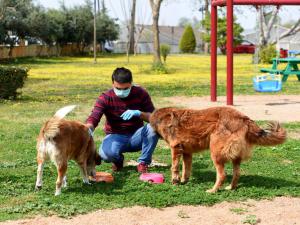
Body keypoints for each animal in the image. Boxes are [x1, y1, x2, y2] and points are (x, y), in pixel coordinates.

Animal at [150, 106, 286, 192]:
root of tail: (244, 119)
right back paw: (230, 188)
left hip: (215, 153)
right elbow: (186, 169)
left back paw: (213, 190)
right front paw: (183, 181)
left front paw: (175, 181)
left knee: (222, 175)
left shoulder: (175, 148)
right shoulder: (187, 152)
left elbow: (175, 167)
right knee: (237, 173)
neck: (163, 118)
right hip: (235, 156)